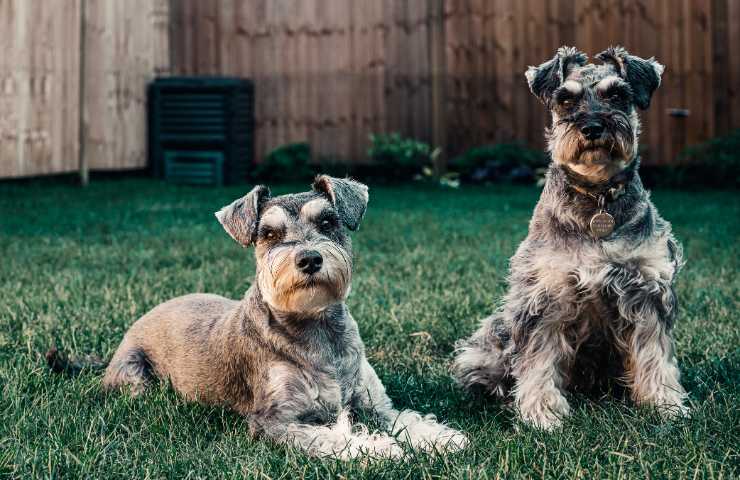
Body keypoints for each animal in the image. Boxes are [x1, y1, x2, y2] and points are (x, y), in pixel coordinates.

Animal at [50, 175, 468, 458]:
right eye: (268, 233)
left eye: (328, 222)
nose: (309, 259)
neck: (317, 329)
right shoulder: (275, 421)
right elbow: (329, 436)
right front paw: (378, 449)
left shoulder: (374, 404)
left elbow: (405, 418)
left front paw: (441, 437)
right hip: (136, 381)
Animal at [454, 47, 692, 430]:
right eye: (565, 99)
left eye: (617, 95)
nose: (592, 127)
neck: (597, 198)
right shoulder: (545, 296)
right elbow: (537, 360)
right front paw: (541, 413)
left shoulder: (647, 291)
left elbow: (655, 354)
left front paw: (665, 405)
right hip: (490, 340)